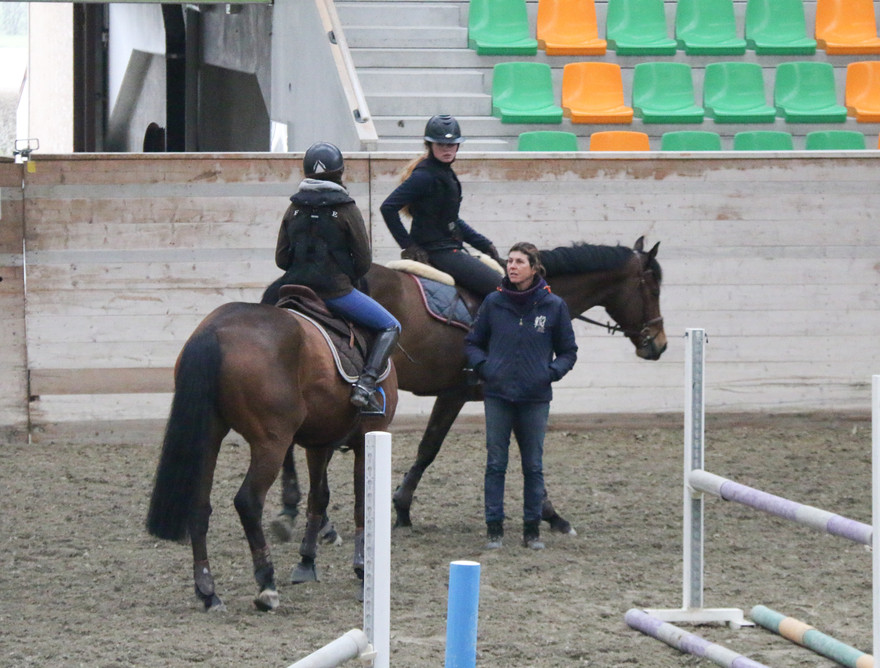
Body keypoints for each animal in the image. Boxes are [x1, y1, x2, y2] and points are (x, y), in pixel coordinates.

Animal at [145, 301, 398, 612]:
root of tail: (214, 329)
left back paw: (208, 592)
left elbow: (318, 497)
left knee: (199, 506)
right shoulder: (370, 434)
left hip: (209, 436)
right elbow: (362, 503)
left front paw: (306, 562)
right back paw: (267, 585)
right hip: (271, 443)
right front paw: (363, 570)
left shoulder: (318, 444)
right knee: (248, 501)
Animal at [263, 236, 666, 533]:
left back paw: (295, 508)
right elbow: (441, 447)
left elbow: (437, 447)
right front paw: (552, 514)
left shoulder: (468, 394)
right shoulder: (466, 393)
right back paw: (296, 508)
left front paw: (402, 508)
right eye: (652, 288)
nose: (658, 344)